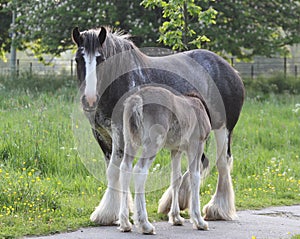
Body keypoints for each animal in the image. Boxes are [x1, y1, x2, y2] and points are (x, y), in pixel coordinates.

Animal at [118, 86, 211, 233]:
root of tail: (138, 98)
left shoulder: (176, 150)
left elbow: (176, 178)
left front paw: (176, 218)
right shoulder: (196, 145)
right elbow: (195, 177)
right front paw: (199, 221)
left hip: (130, 141)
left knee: (125, 168)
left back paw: (125, 223)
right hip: (153, 143)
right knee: (140, 170)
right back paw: (145, 224)